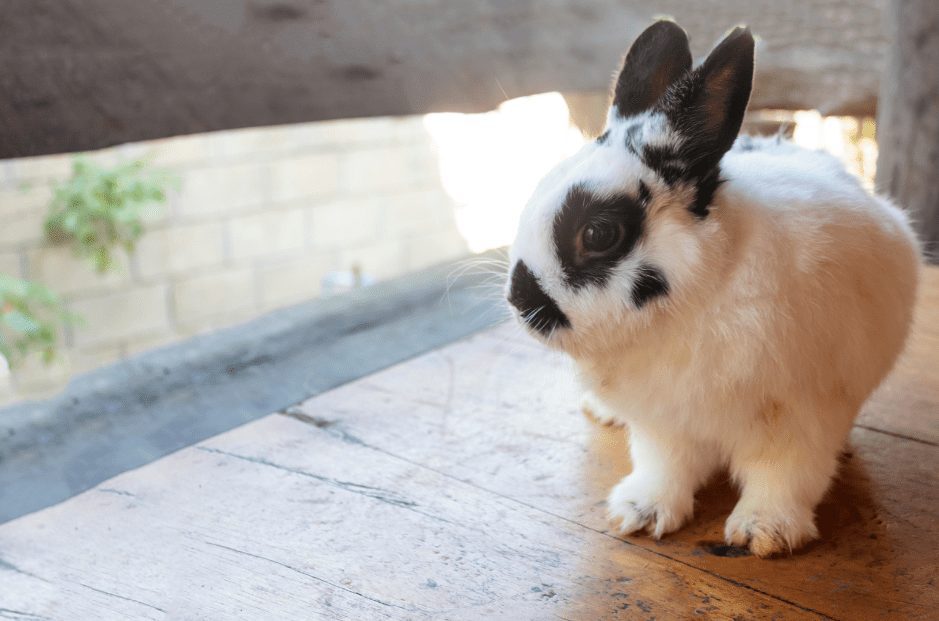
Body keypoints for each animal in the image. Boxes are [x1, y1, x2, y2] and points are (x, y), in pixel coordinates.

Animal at [505, 20, 920, 557]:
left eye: (598, 234)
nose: (521, 303)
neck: (692, 306)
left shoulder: (799, 419)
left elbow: (785, 477)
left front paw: (764, 534)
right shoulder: (663, 425)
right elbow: (665, 470)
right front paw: (639, 513)